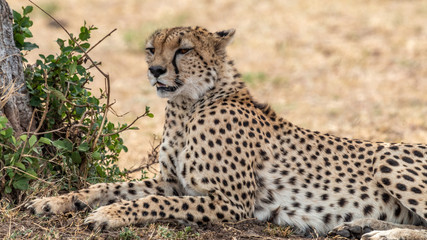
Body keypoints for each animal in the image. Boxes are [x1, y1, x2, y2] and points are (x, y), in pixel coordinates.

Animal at [27, 27, 427, 239]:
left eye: (183, 50)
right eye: (151, 49)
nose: (155, 71)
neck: (188, 105)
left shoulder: (232, 202)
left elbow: (153, 202)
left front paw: (110, 214)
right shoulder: (173, 183)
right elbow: (109, 186)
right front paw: (55, 201)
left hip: (388, 158)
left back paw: (383, 231)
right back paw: (358, 224)